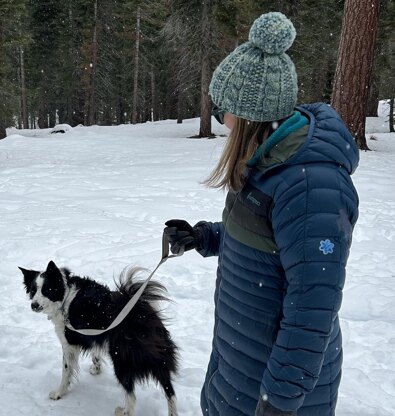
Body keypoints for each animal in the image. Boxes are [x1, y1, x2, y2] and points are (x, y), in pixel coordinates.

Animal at [20, 262, 178, 414]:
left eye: (47, 290)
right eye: (33, 291)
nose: (34, 305)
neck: (65, 295)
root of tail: (142, 315)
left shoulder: (68, 343)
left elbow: (66, 371)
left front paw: (59, 393)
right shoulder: (92, 334)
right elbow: (95, 352)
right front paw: (96, 369)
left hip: (121, 359)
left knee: (132, 396)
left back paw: (124, 411)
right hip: (159, 358)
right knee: (170, 392)